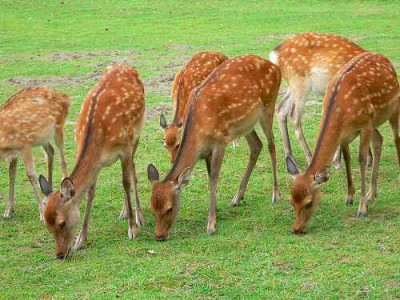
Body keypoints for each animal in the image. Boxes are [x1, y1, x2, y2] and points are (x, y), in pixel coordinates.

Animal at [0, 86, 70, 220]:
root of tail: (65, 97)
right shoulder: (14, 152)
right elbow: (11, 174)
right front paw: (8, 210)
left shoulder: (24, 145)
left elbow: (31, 175)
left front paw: (42, 213)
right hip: (42, 137)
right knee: (50, 152)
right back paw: (47, 196)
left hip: (58, 127)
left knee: (63, 159)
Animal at [38, 63, 145, 260]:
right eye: (47, 226)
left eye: (62, 223)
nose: (60, 254)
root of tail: (126, 66)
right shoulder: (97, 164)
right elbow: (90, 193)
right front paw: (81, 240)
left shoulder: (125, 148)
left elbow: (126, 182)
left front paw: (132, 229)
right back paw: (124, 212)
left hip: (136, 134)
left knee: (132, 172)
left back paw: (138, 216)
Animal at [147, 54, 282, 241]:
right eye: (152, 209)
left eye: (169, 208)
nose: (159, 236)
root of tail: (276, 68)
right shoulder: (207, 152)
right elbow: (210, 175)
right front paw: (215, 210)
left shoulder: (220, 142)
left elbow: (213, 178)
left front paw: (211, 224)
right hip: (244, 124)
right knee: (257, 145)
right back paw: (237, 197)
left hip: (268, 107)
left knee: (271, 145)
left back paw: (276, 194)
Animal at [268, 33, 368, 169]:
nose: (369, 160)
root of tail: (274, 54)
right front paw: (337, 162)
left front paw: (337, 160)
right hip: (299, 82)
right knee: (294, 116)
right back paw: (309, 158)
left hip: (291, 85)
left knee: (281, 109)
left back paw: (290, 157)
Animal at [286, 52, 398, 234]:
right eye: (292, 201)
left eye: (309, 202)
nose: (296, 229)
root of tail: (382, 56)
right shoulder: (345, 135)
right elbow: (347, 159)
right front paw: (350, 197)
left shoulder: (365, 126)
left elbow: (361, 160)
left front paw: (362, 209)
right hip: (374, 121)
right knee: (379, 141)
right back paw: (372, 194)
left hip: (393, 108)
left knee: (396, 139)